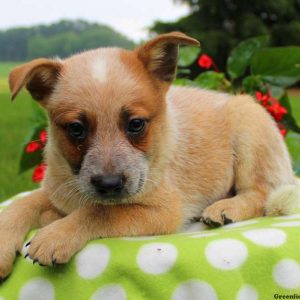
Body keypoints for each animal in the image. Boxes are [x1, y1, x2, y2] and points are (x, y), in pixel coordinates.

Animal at [1, 31, 298, 278]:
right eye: (76, 129)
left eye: (136, 124)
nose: (109, 184)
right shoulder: (57, 192)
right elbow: (22, 204)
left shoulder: (164, 211)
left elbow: (102, 212)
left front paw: (56, 235)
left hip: (248, 125)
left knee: (261, 193)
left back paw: (225, 208)